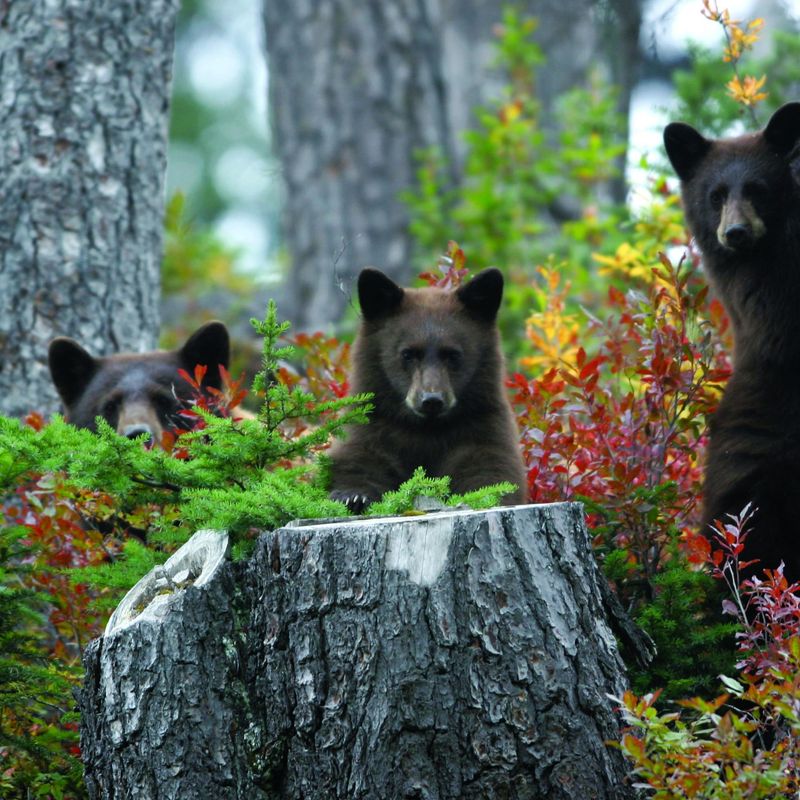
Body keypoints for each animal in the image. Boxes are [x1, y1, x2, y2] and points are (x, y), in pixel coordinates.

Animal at [328, 266, 527, 512]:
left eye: (452, 354)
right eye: (408, 354)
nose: (431, 399)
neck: (426, 430)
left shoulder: (483, 427)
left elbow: (490, 469)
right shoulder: (373, 425)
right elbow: (360, 459)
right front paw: (352, 496)